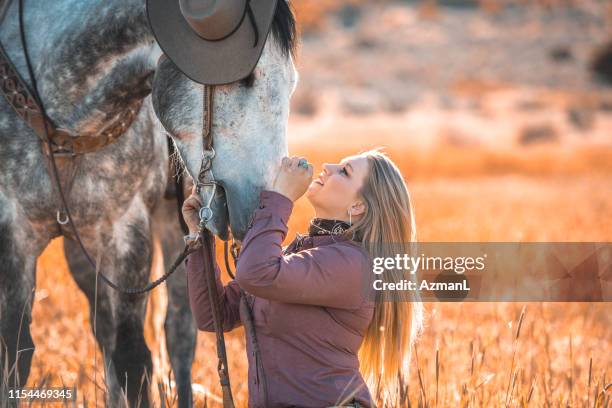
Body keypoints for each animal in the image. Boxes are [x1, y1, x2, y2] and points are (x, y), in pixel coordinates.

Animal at [0, 0, 296, 404]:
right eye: (246, 78)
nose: (259, 205)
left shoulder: (125, 233)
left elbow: (133, 359)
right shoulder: (13, 235)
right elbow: (15, 354)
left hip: (173, 226)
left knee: (178, 333)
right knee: (104, 332)